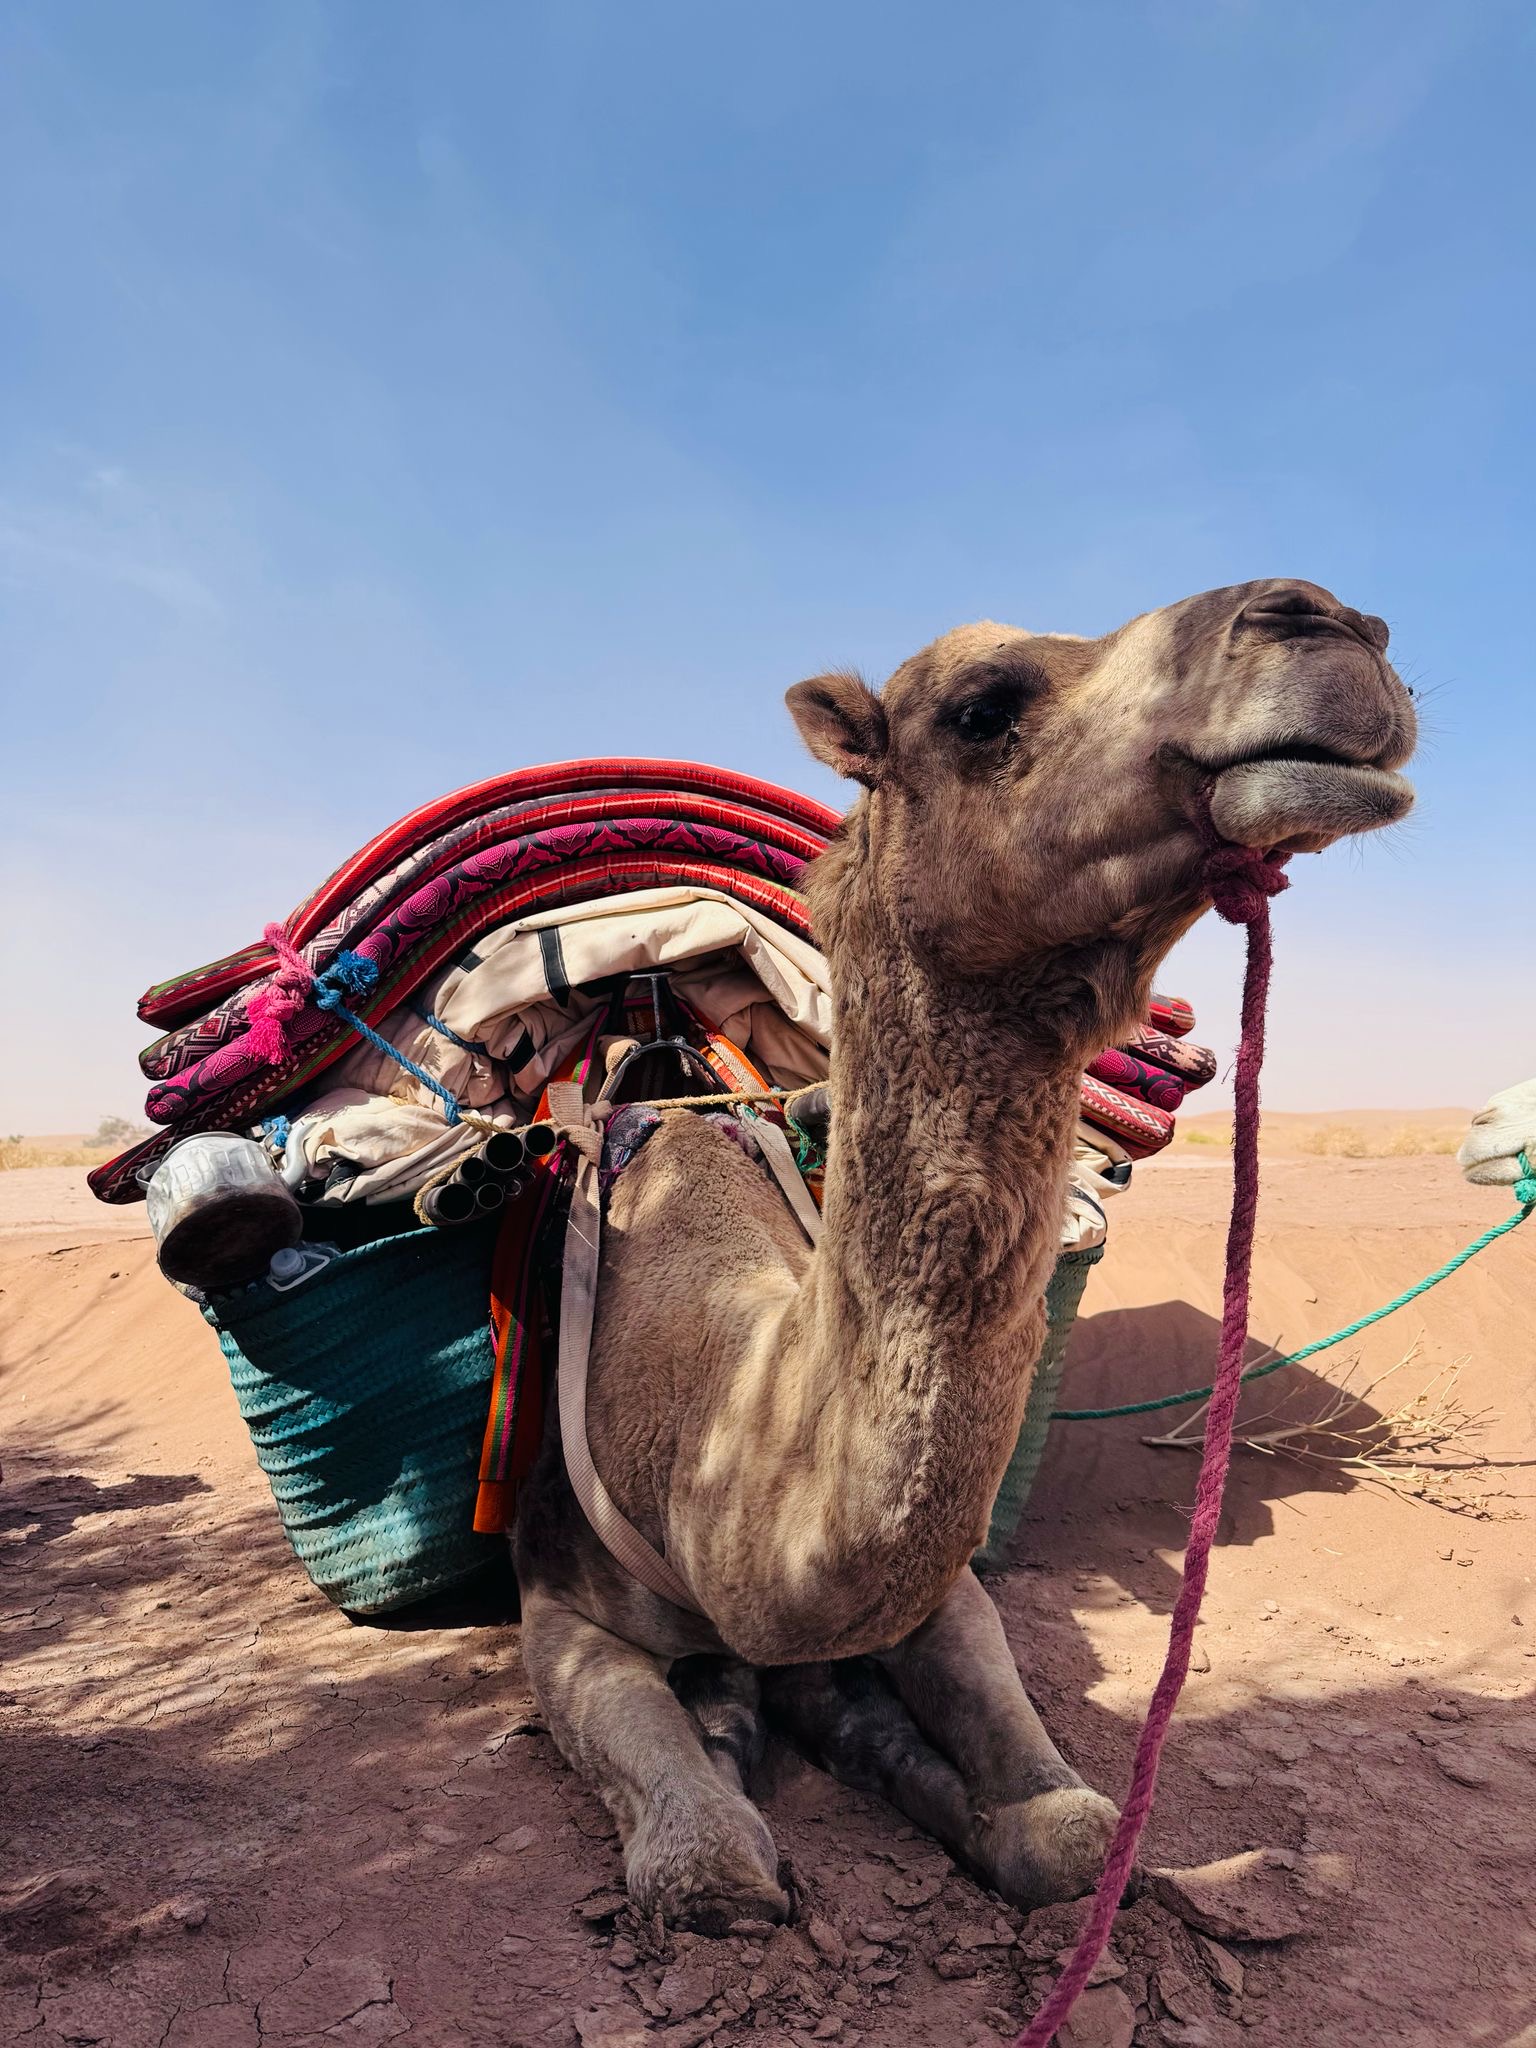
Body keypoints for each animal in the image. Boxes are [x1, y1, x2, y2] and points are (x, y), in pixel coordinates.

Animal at [512, 578, 1416, 1930]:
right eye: (981, 708)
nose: (1333, 624)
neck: (714, 1428)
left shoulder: (944, 1595)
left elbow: (1072, 1830)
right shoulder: (554, 1599)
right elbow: (708, 1863)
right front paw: (737, 1754)